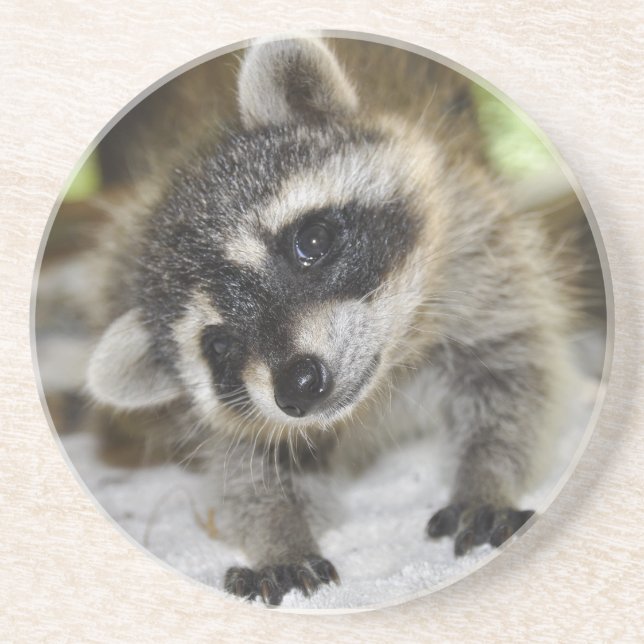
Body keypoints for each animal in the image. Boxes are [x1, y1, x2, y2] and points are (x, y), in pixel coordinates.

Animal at [83, 36, 578, 606]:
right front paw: (279, 534)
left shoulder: (475, 246)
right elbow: (249, 463)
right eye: (221, 346)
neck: (379, 387)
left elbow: (513, 373)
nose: (298, 384)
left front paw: (486, 475)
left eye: (312, 242)